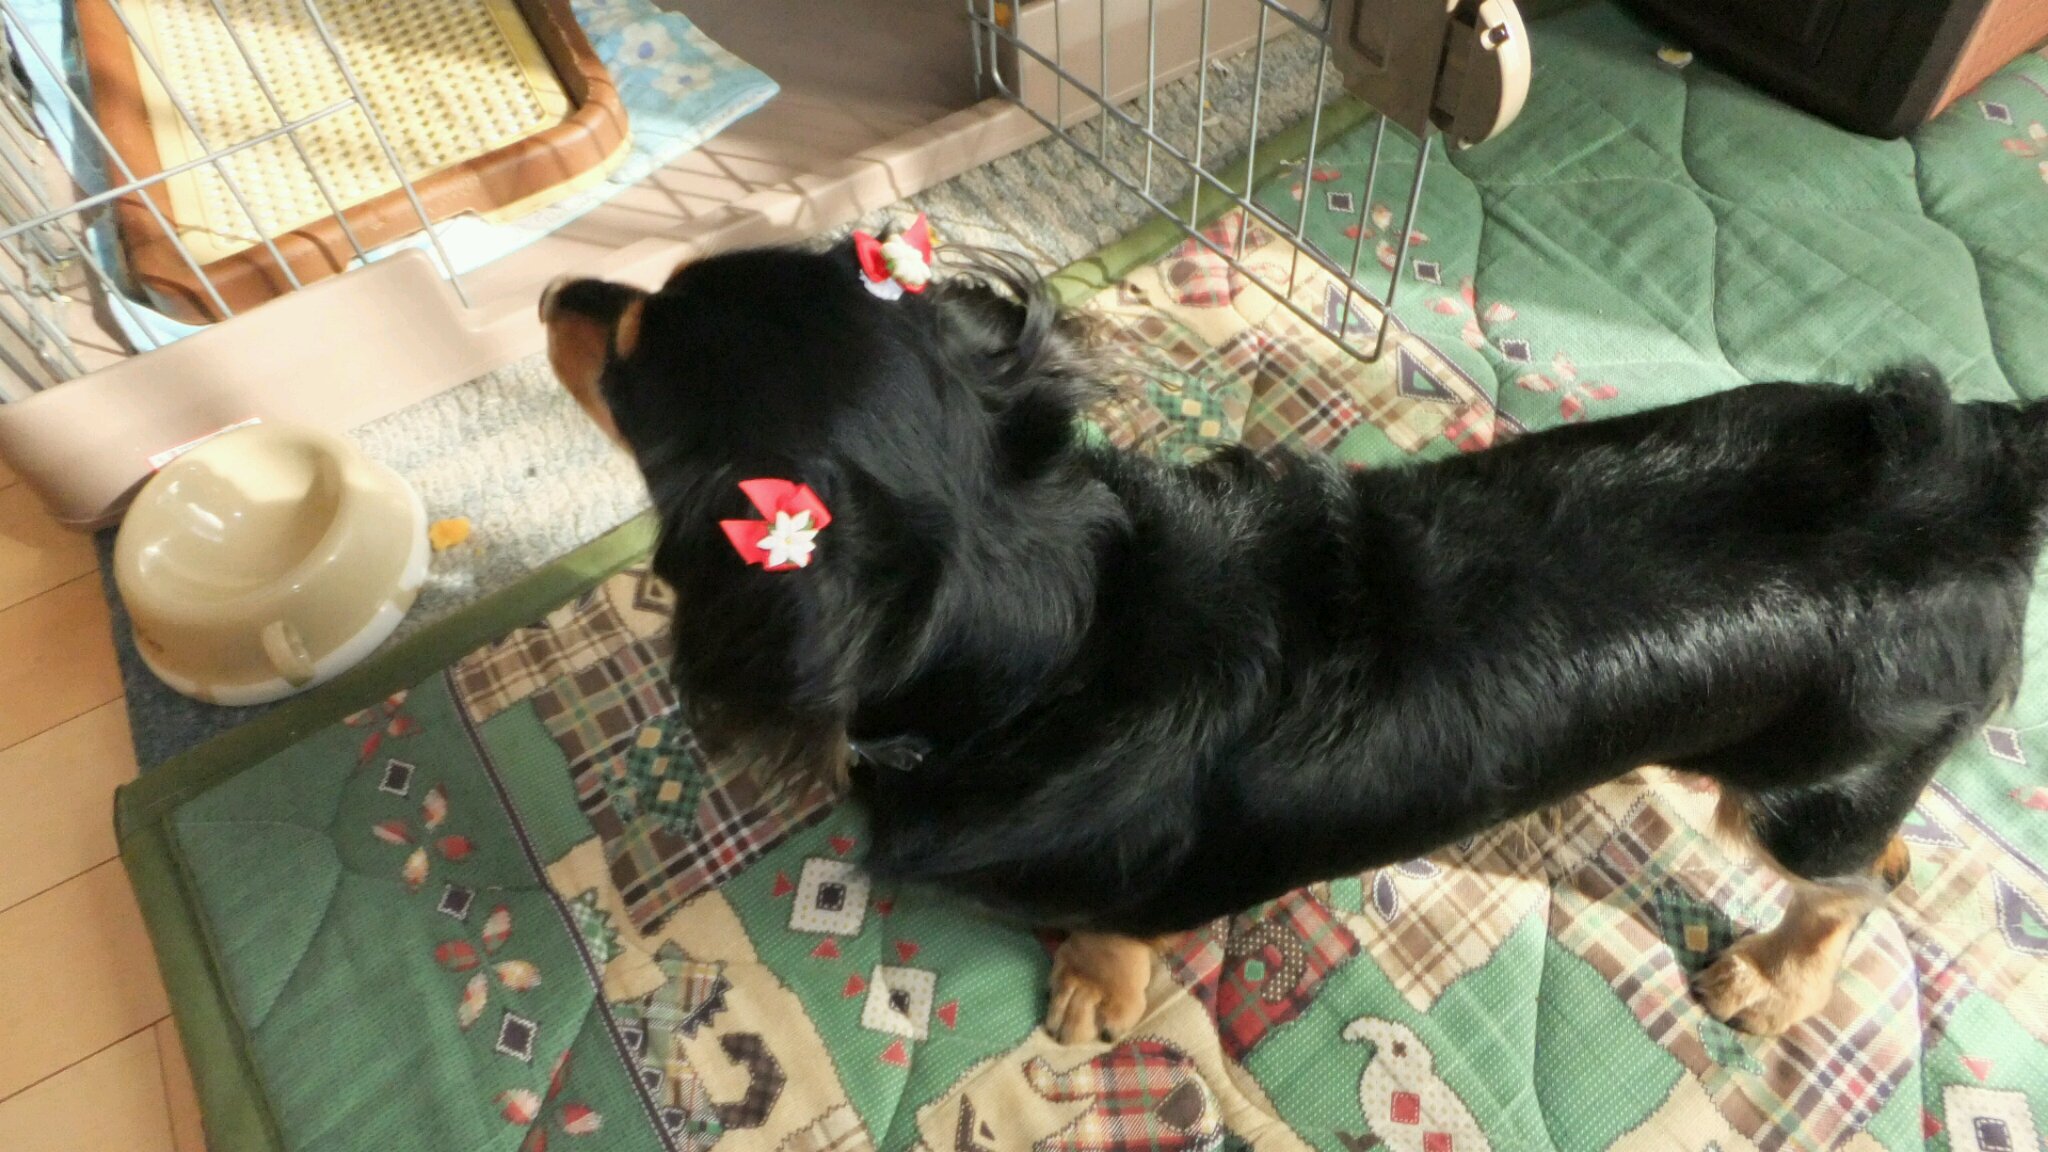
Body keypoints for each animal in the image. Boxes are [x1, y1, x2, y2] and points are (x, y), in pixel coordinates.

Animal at [541, 224, 2048, 1045]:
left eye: (633, 345)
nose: (558, 290)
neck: (1060, 640)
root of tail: (1970, 458)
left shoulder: (1116, 888)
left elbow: (1108, 938)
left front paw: (1092, 996)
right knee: (1880, 853)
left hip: (1798, 796)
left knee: (1845, 894)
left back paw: (1773, 982)